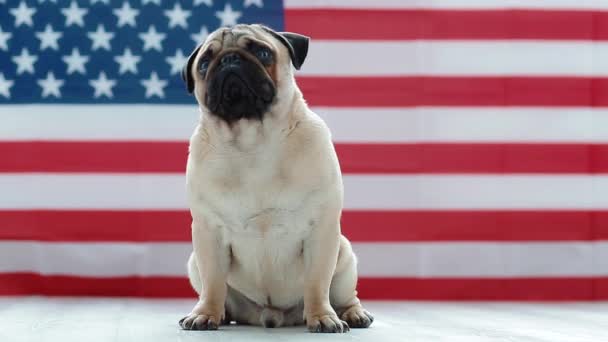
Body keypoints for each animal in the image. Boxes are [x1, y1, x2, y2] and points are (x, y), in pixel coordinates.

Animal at [178, 22, 372, 332]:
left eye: (262, 52)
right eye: (205, 64)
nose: (229, 59)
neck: (252, 141)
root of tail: (272, 316)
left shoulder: (321, 231)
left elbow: (317, 283)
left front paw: (322, 317)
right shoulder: (209, 234)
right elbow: (213, 284)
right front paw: (205, 314)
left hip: (344, 259)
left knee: (344, 294)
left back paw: (352, 314)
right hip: (195, 263)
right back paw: (223, 314)